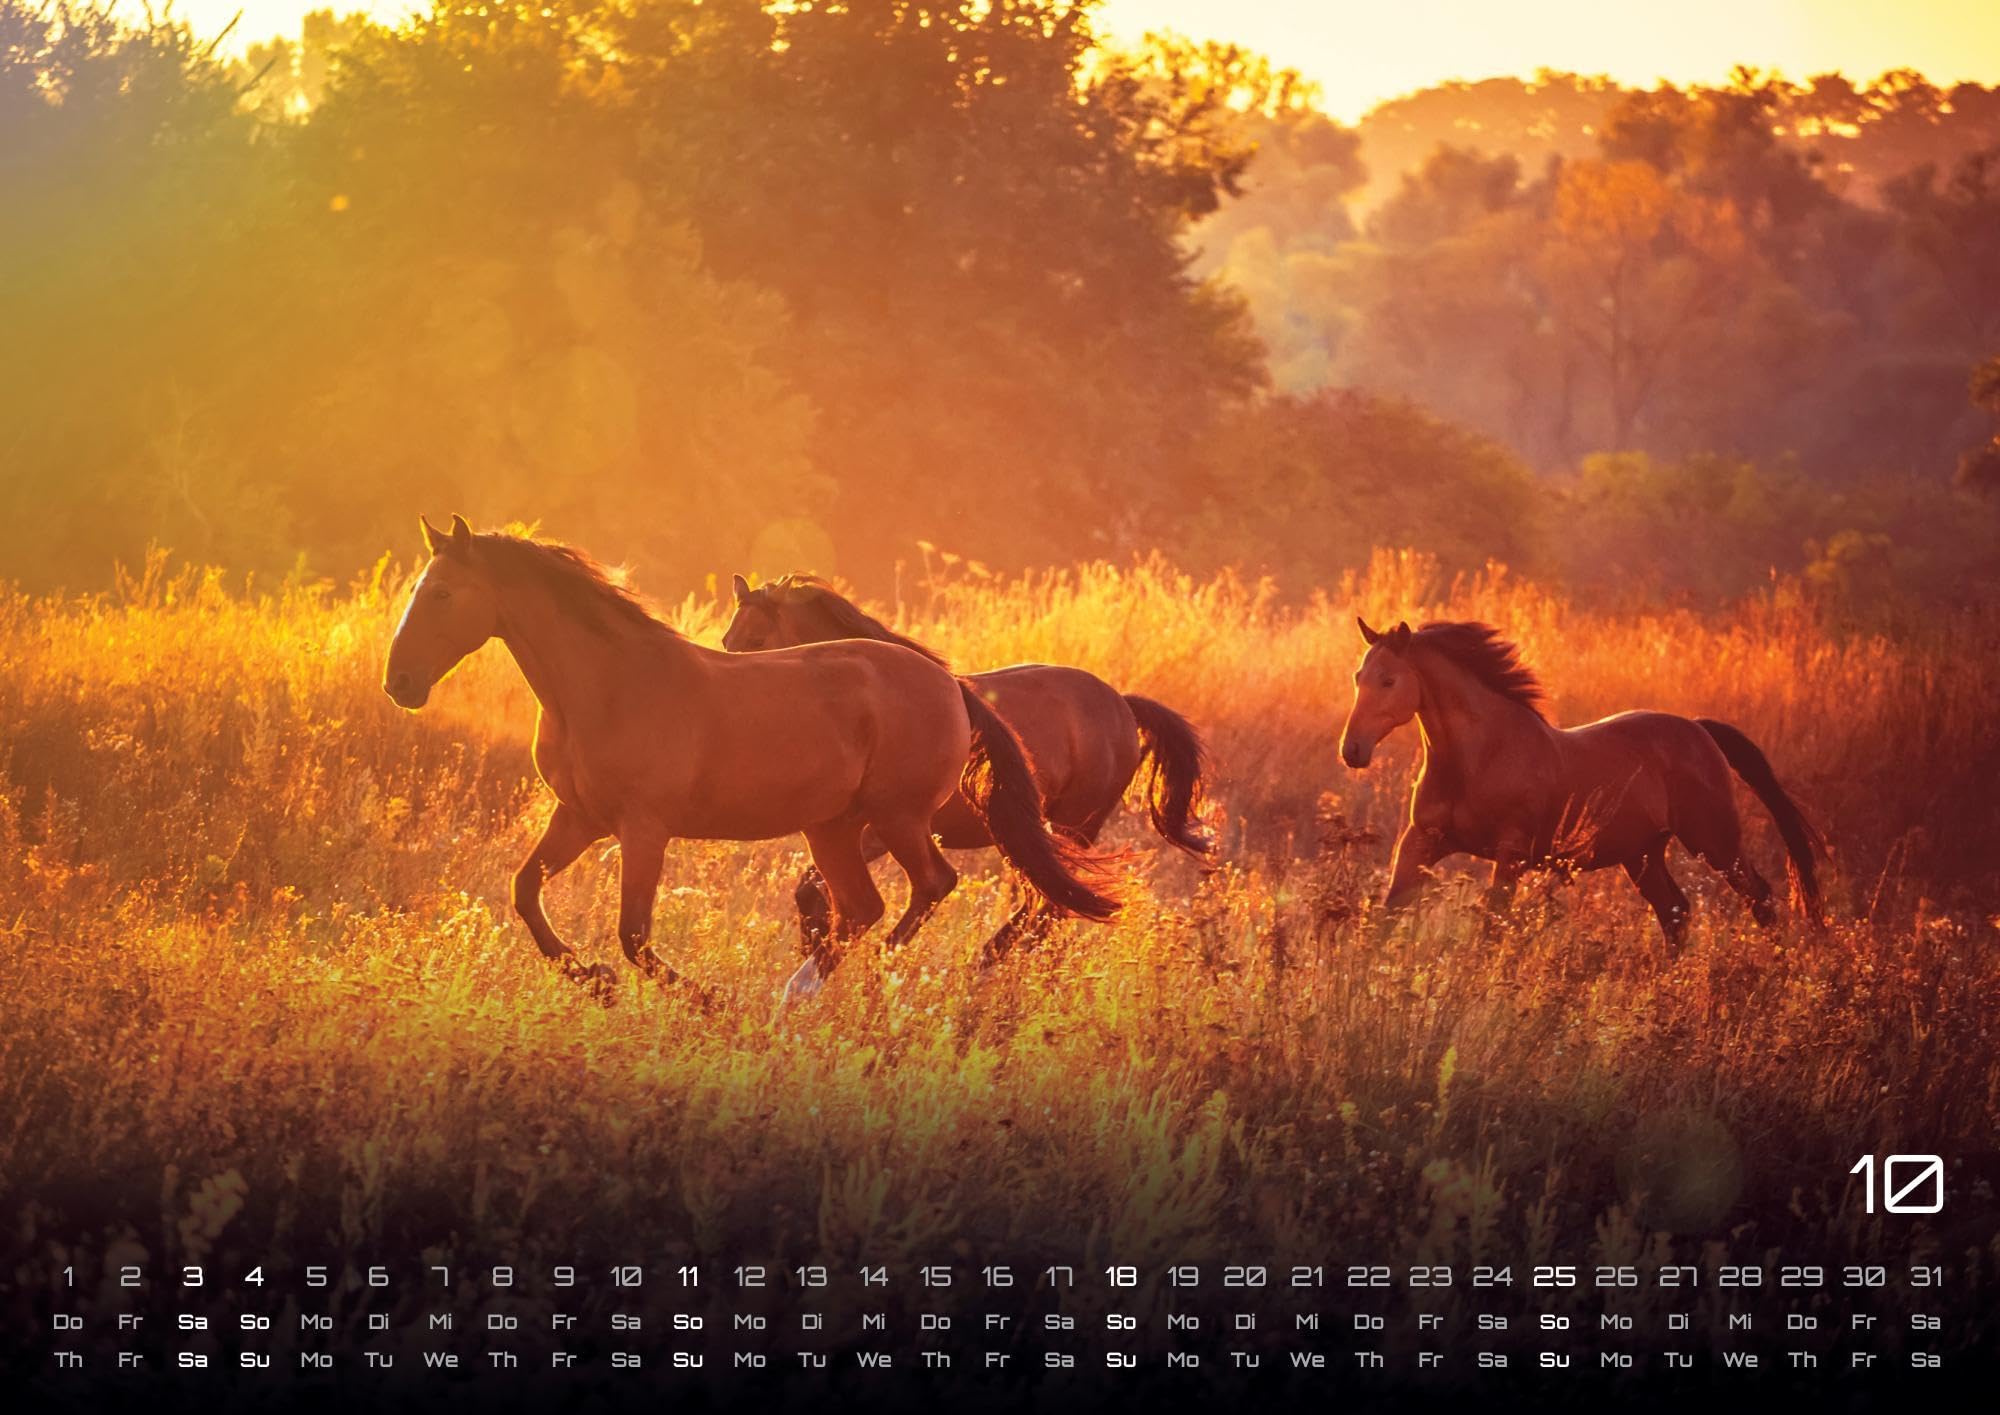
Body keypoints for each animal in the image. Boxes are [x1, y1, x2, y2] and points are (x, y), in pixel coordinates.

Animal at [383, 516, 1118, 1002]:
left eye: (440, 593)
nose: (400, 683)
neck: (608, 685)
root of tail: (950, 684)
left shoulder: (643, 828)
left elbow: (634, 935)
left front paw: (709, 1001)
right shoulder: (579, 818)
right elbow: (526, 892)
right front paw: (593, 979)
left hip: (899, 818)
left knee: (932, 887)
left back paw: (853, 982)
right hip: (834, 828)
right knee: (863, 906)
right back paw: (800, 996)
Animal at [722, 573, 1211, 961]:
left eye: (758, 641)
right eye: (729, 641)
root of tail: (1123, 704)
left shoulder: (886, 826)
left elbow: (820, 886)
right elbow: (810, 888)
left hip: (1074, 827)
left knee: (1049, 906)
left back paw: (988, 962)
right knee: (1046, 903)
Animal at [1337, 617, 1824, 945]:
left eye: (1389, 680)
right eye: (1357, 677)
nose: (1352, 750)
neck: (1477, 758)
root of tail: (1698, 729)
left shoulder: (1510, 855)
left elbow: (1492, 929)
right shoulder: (1420, 842)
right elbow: (1386, 917)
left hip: (1714, 842)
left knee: (1759, 898)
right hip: (1642, 854)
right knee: (1675, 912)